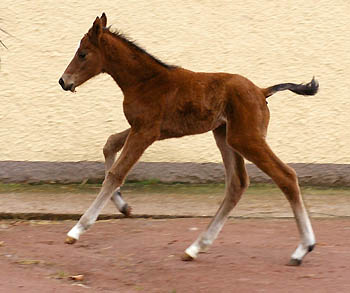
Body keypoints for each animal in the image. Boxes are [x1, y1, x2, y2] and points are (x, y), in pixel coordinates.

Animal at [60, 13, 320, 264]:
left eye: (82, 54)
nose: (64, 81)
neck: (144, 81)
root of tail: (261, 91)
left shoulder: (145, 132)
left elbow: (116, 173)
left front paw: (77, 229)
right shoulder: (144, 129)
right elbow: (110, 143)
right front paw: (123, 206)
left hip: (246, 139)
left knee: (286, 176)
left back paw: (302, 249)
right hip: (225, 136)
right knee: (237, 184)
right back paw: (196, 247)